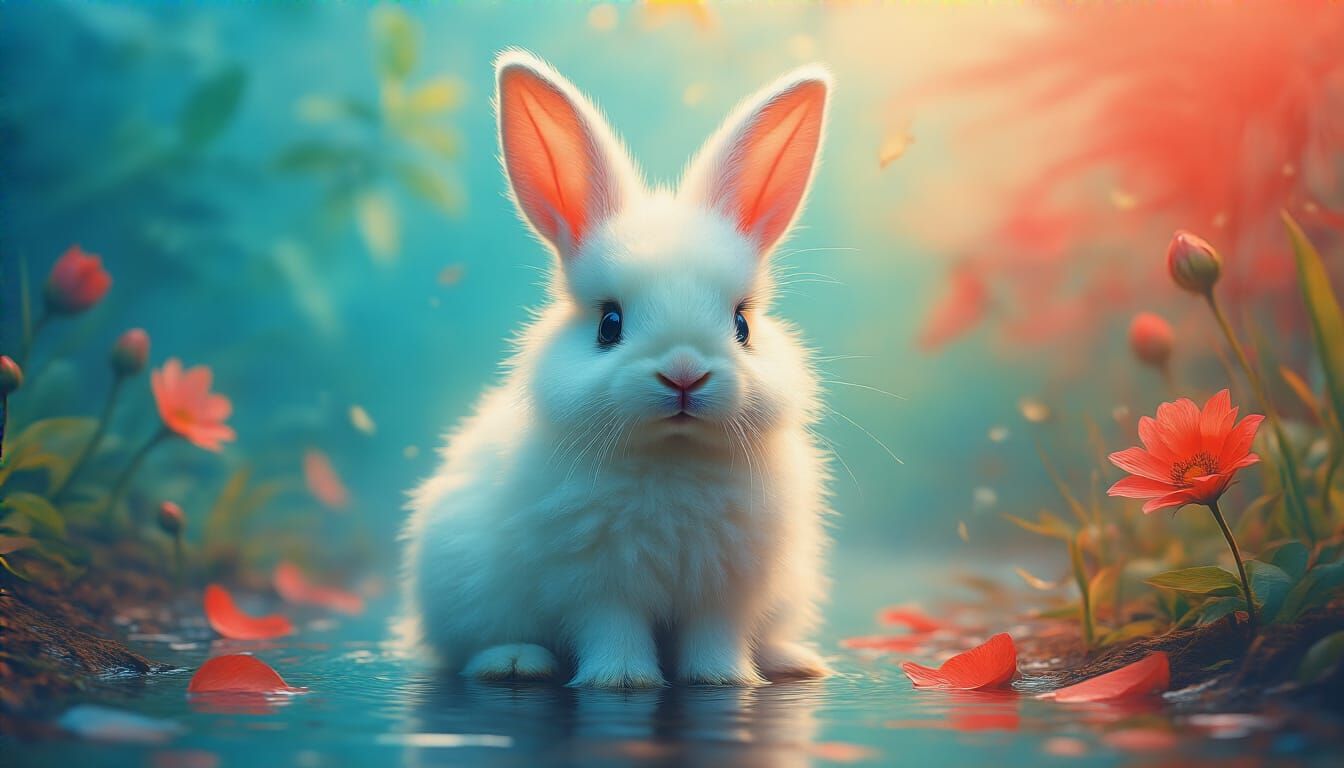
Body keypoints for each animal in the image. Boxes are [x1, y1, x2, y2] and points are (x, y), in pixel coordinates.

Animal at [400, 49, 834, 688]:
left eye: (742, 324)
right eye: (609, 323)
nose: (684, 373)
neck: (673, 457)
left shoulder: (725, 589)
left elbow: (716, 636)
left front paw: (722, 680)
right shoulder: (597, 583)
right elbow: (613, 628)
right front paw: (625, 681)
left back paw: (792, 660)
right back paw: (515, 663)